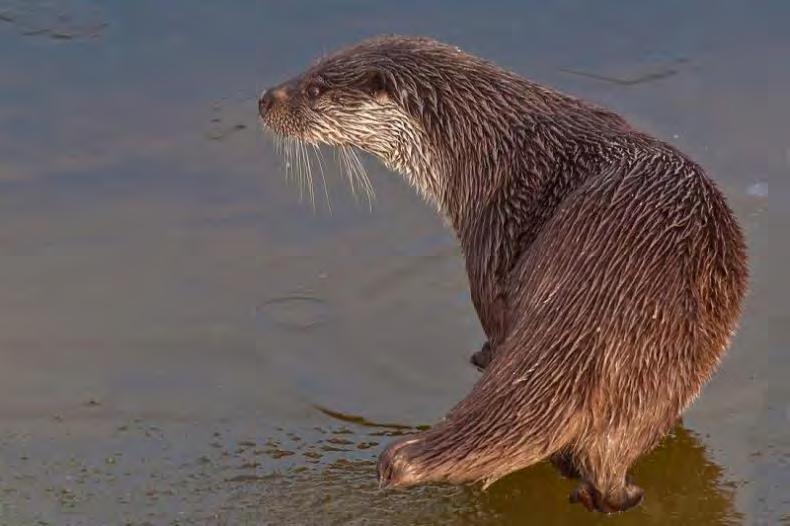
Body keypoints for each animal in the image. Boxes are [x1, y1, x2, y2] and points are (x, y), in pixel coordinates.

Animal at [260, 37, 748, 516]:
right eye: (308, 68)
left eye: (316, 89)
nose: (265, 99)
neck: (485, 148)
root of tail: (603, 301)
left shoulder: (489, 228)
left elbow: (491, 312)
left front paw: (483, 355)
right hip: (672, 360)